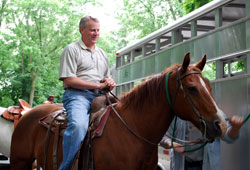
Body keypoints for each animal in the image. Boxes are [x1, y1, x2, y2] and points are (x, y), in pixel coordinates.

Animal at [10, 52, 228, 169]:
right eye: (192, 88)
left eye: (209, 86)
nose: (221, 125)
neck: (134, 132)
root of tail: (27, 114)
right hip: (19, 162)